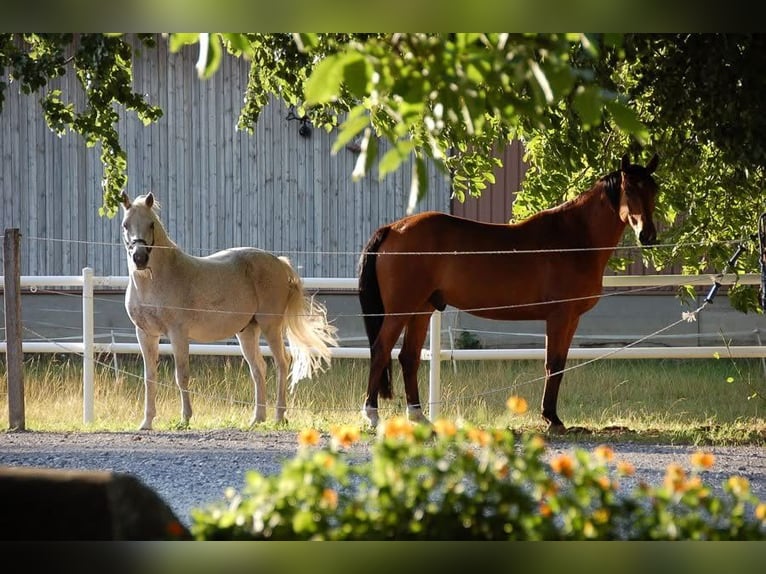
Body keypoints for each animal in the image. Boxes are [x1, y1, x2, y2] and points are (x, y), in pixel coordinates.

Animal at [119, 192, 338, 430]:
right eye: (125, 225)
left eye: (151, 224)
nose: (139, 258)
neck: (155, 281)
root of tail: (279, 262)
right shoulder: (146, 334)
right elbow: (149, 377)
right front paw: (147, 422)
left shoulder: (178, 334)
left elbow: (181, 375)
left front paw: (185, 418)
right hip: (248, 331)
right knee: (258, 369)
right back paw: (257, 418)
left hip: (270, 327)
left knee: (282, 363)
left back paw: (280, 416)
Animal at [358, 153, 660, 433]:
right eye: (629, 188)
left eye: (653, 190)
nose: (647, 235)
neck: (574, 239)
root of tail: (394, 228)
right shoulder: (560, 316)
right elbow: (553, 364)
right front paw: (551, 418)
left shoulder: (571, 319)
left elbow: (559, 365)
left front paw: (551, 416)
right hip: (400, 310)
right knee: (381, 349)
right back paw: (372, 416)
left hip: (422, 309)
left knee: (408, 357)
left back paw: (419, 417)